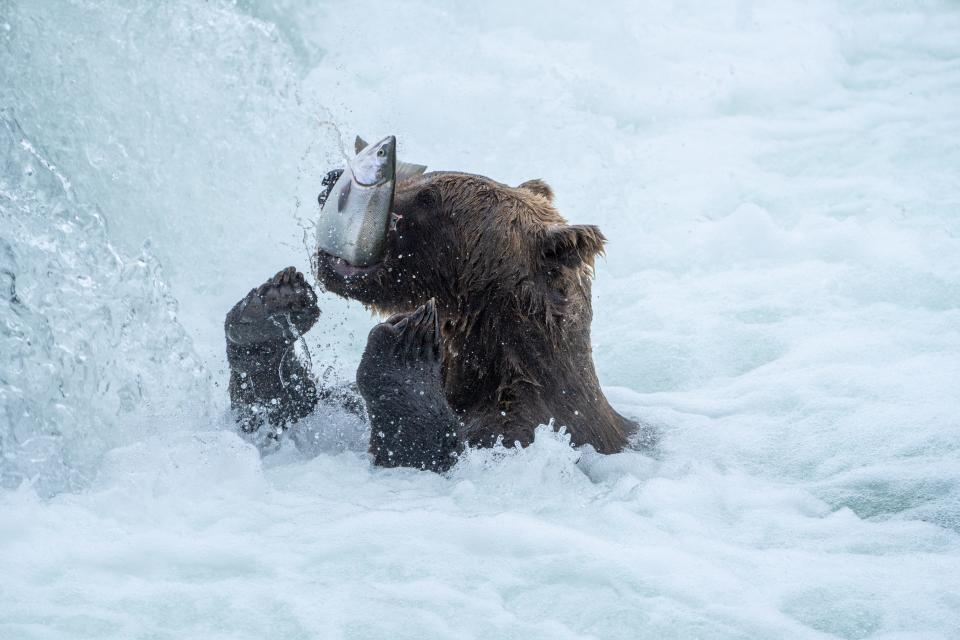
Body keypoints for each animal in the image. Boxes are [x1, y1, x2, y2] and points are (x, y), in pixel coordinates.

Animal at [226, 170, 640, 470]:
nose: (332, 178)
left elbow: (422, 451)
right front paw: (273, 306)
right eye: (421, 179)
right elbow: (281, 415)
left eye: (430, 197)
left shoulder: (527, 431)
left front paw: (407, 348)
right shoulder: (347, 409)